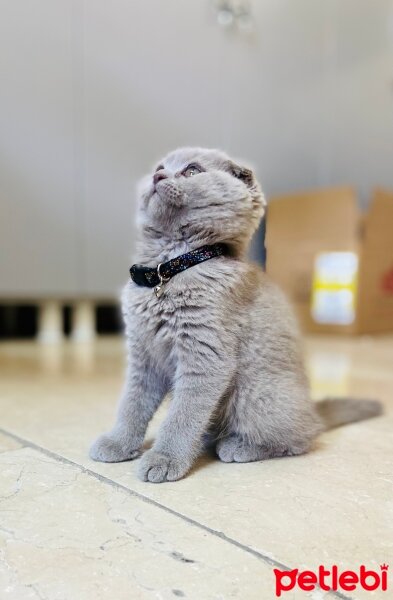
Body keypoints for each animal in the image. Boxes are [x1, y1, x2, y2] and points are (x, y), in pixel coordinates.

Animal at [90, 148, 382, 486]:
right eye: (159, 167)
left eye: (192, 171)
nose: (157, 177)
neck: (170, 268)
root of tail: (313, 408)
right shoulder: (143, 358)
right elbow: (132, 404)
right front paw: (118, 443)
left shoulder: (205, 358)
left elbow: (182, 416)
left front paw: (165, 458)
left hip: (253, 394)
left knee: (302, 437)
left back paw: (239, 446)